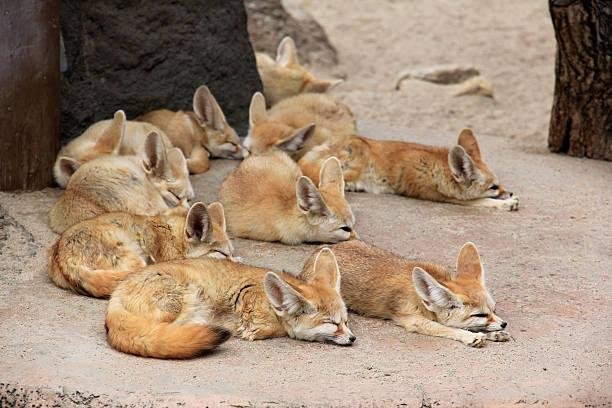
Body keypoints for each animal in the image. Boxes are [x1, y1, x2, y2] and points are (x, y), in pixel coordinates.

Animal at [105, 247, 354, 358]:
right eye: (332, 323)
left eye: (345, 321)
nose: (353, 338)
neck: (270, 301)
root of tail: (114, 298)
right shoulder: (249, 297)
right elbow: (266, 327)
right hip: (186, 298)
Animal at [320, 241, 512, 350]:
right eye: (480, 314)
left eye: (494, 310)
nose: (504, 323)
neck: (421, 298)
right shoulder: (412, 319)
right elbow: (445, 328)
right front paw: (470, 336)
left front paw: (494, 333)